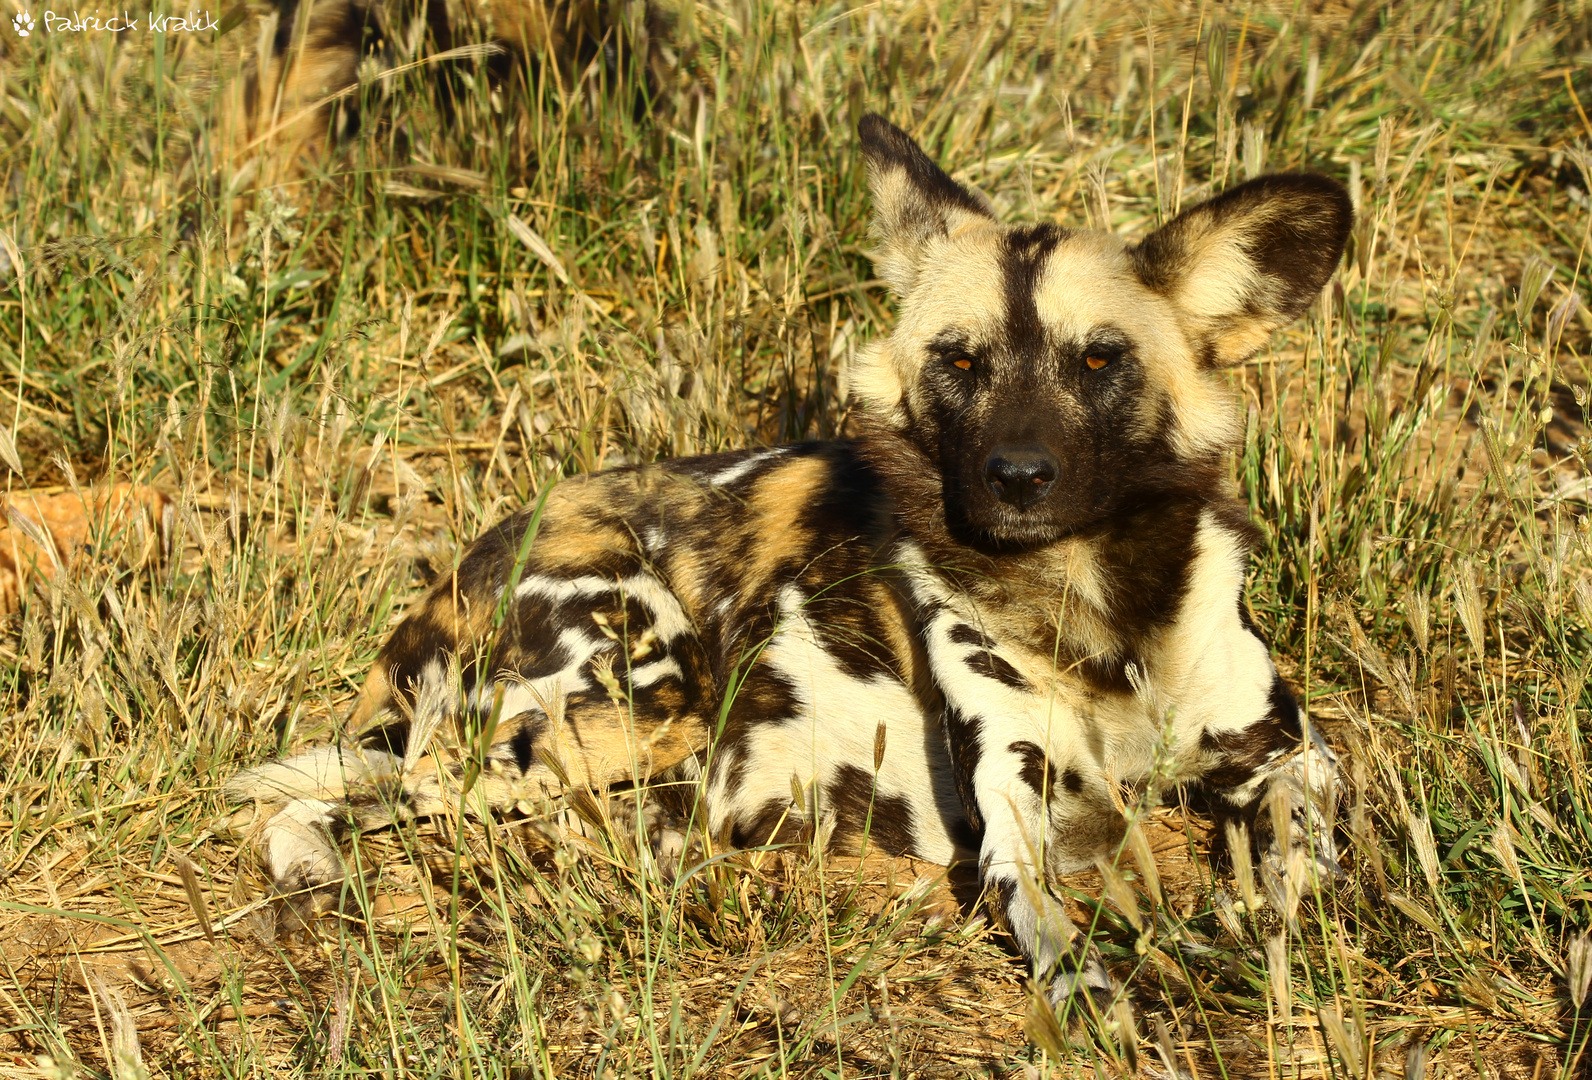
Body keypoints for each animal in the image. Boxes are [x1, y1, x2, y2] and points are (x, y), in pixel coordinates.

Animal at [230, 116, 1356, 1006]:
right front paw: (1112, 1001)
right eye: (959, 360)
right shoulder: (1016, 821)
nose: (1016, 477)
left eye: (1097, 359)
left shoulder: (1291, 760)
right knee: (397, 788)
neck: (1096, 607)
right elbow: (1068, 954)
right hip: (637, 700)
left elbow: (1301, 869)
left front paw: (1260, 933)